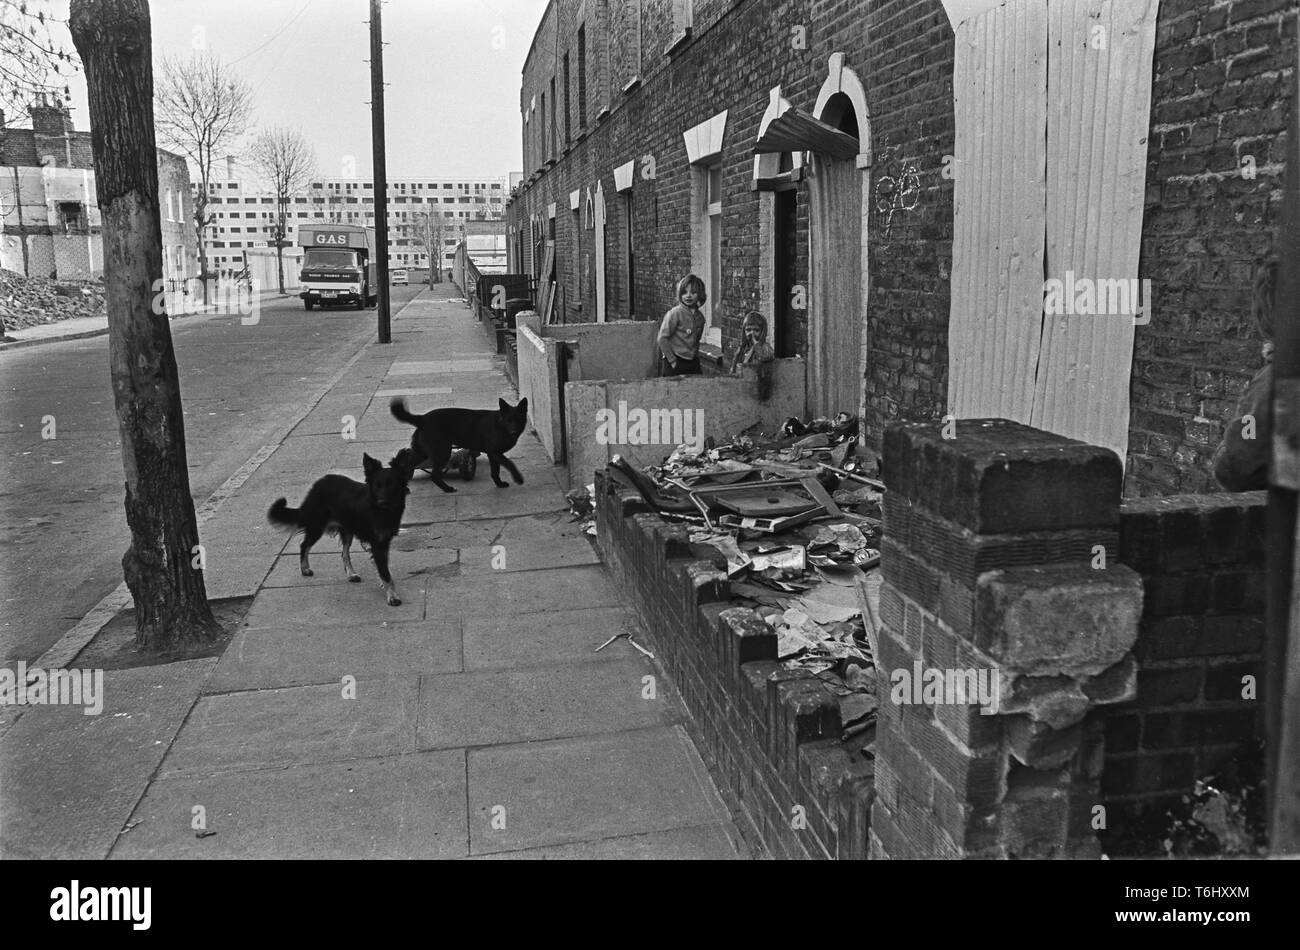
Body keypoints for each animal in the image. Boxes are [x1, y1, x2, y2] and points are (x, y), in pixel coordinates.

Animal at [261, 447, 408, 608]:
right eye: (377, 485)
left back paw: (351, 574)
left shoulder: (384, 543)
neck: (383, 512)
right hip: (317, 526)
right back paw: (305, 569)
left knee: (344, 553)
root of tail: (317, 484)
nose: (381, 502)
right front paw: (392, 596)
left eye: (392, 485)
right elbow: (385, 573)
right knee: (304, 545)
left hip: (347, 530)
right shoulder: (377, 545)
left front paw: (387, 587)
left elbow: (384, 569)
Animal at [387, 395, 530, 493]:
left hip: (422, 452)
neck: (500, 424)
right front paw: (518, 478)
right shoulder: (495, 452)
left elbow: (495, 472)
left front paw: (499, 484)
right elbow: (509, 463)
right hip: (442, 452)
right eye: (508, 420)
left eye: (518, 419)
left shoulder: (493, 455)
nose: (513, 432)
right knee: (434, 475)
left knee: (408, 465)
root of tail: (422, 418)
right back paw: (447, 489)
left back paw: (404, 488)